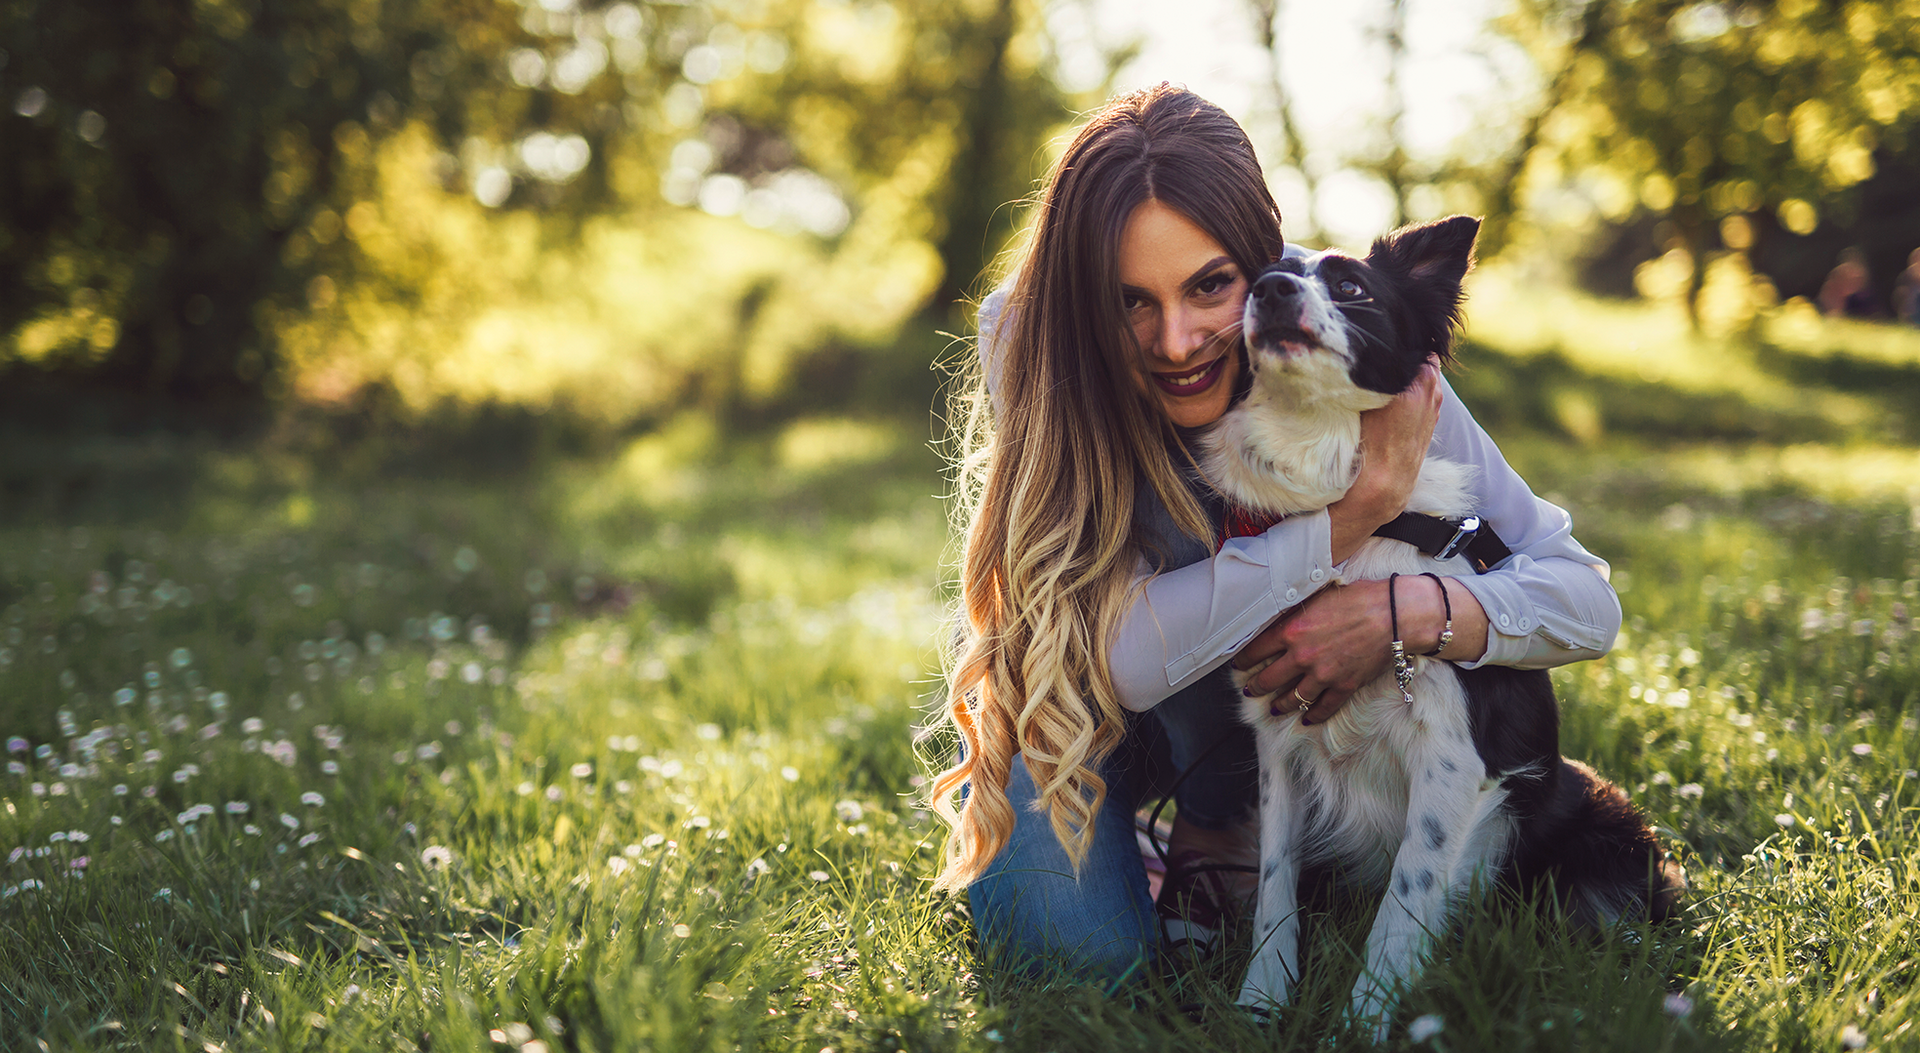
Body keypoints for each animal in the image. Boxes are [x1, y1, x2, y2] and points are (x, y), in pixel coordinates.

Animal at [1198, 216, 1681, 1037]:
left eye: (1351, 286)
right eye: (1254, 278)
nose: (1272, 291)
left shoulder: (1453, 760)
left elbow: (1405, 897)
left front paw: (1362, 1022)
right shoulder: (1278, 745)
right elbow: (1274, 885)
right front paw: (1260, 1004)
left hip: (1603, 832)